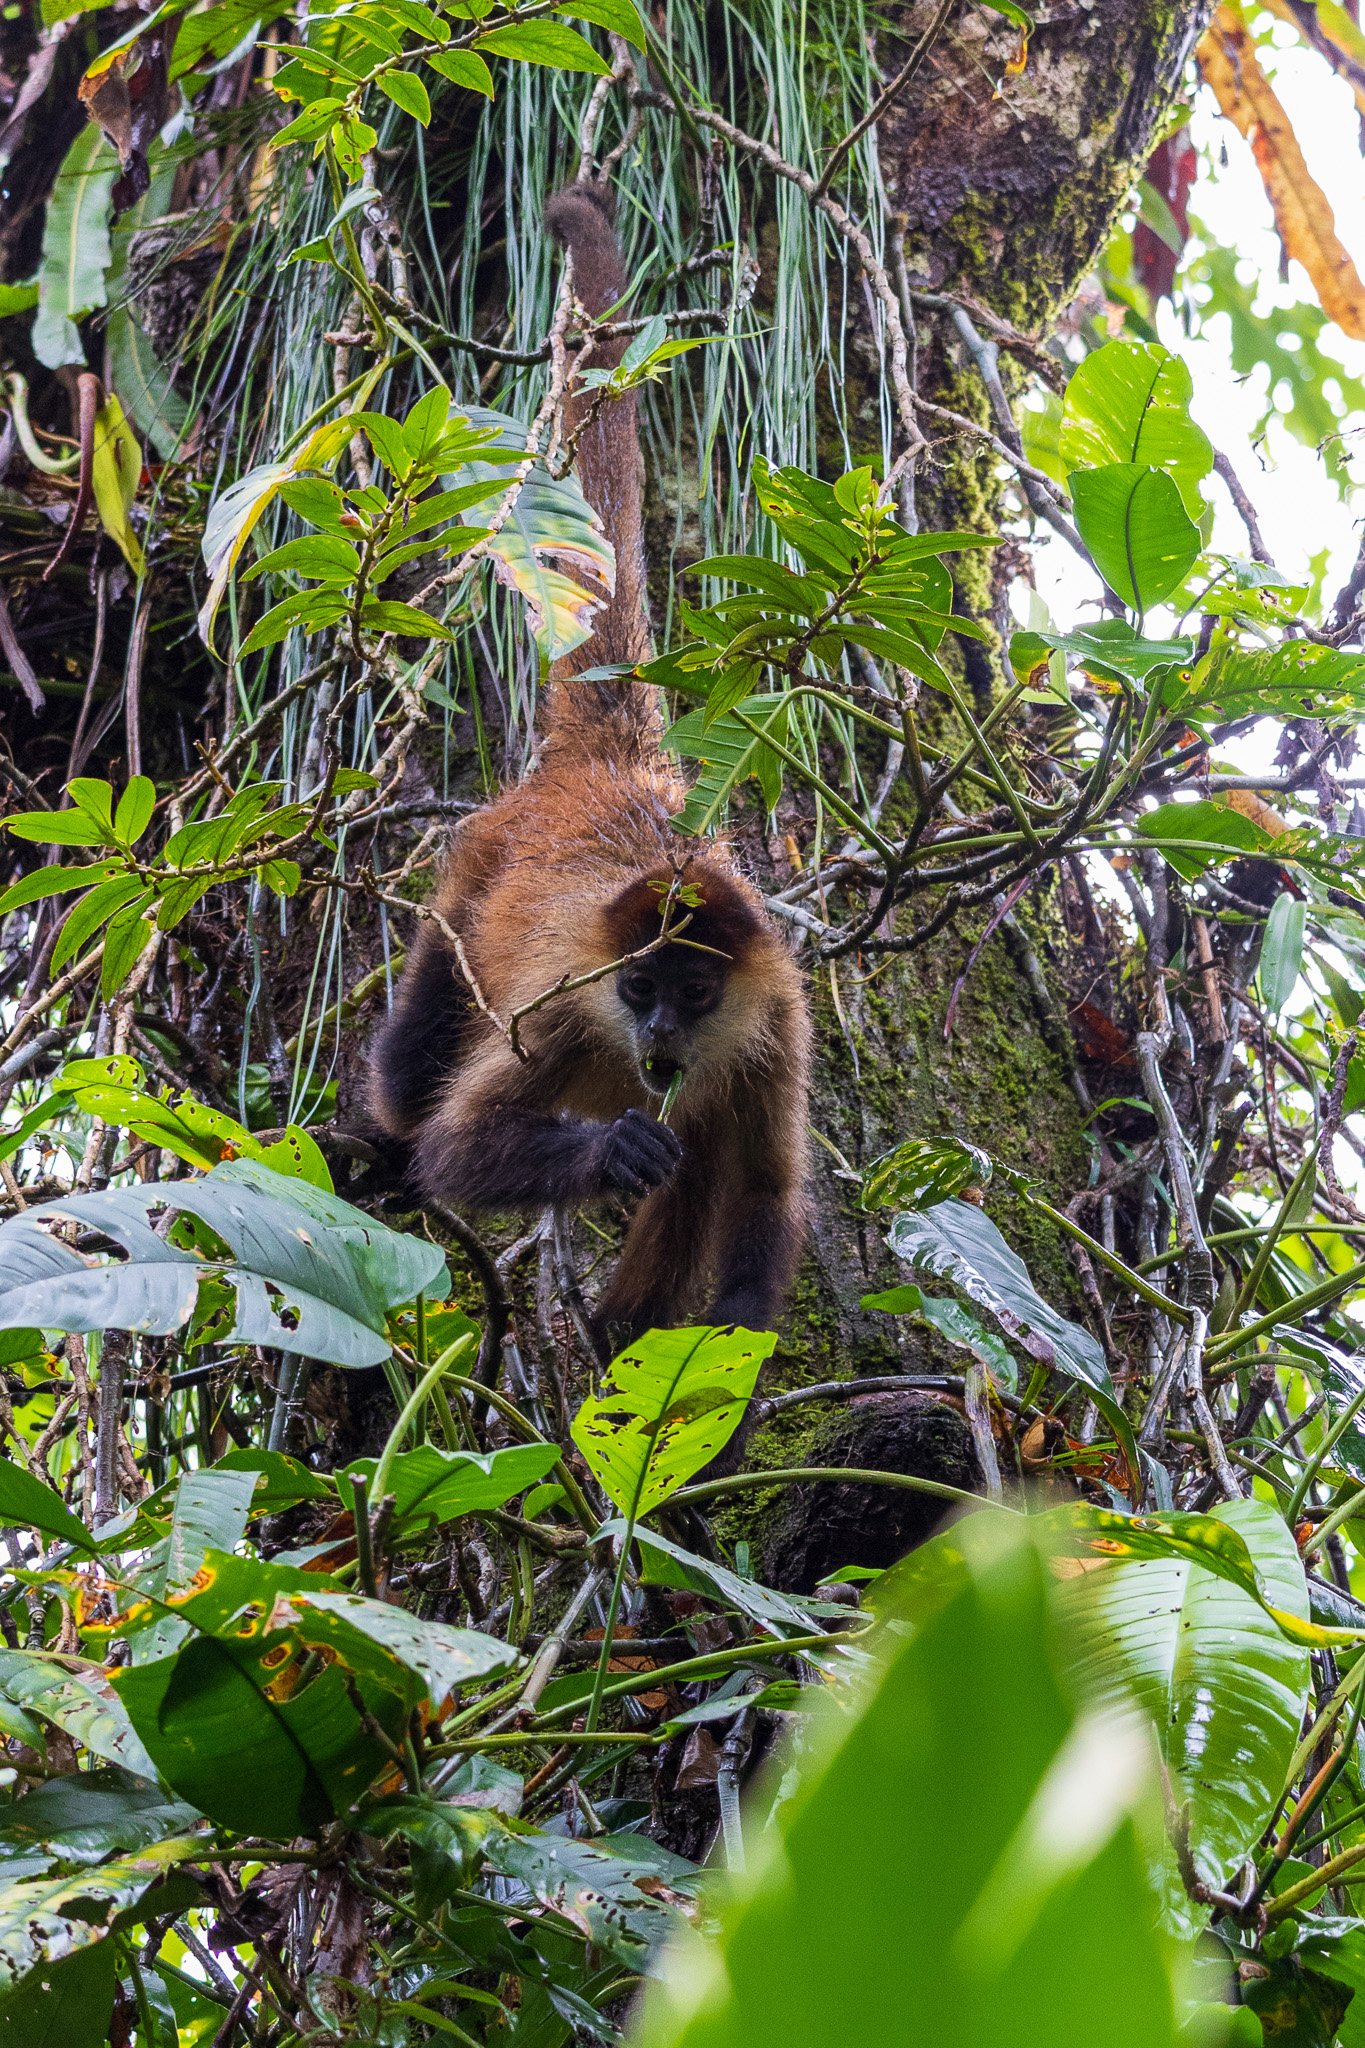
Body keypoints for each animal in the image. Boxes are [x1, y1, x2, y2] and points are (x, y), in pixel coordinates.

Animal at [368, 184, 810, 1351]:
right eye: (642, 987)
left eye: (694, 993)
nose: (657, 1030)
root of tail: (617, 770)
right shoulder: (569, 1007)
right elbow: (452, 1149)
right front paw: (610, 1152)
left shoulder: (776, 1023)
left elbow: (762, 1194)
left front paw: (720, 1382)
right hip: (482, 853)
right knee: (415, 1073)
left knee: (702, 1160)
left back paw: (624, 1334)